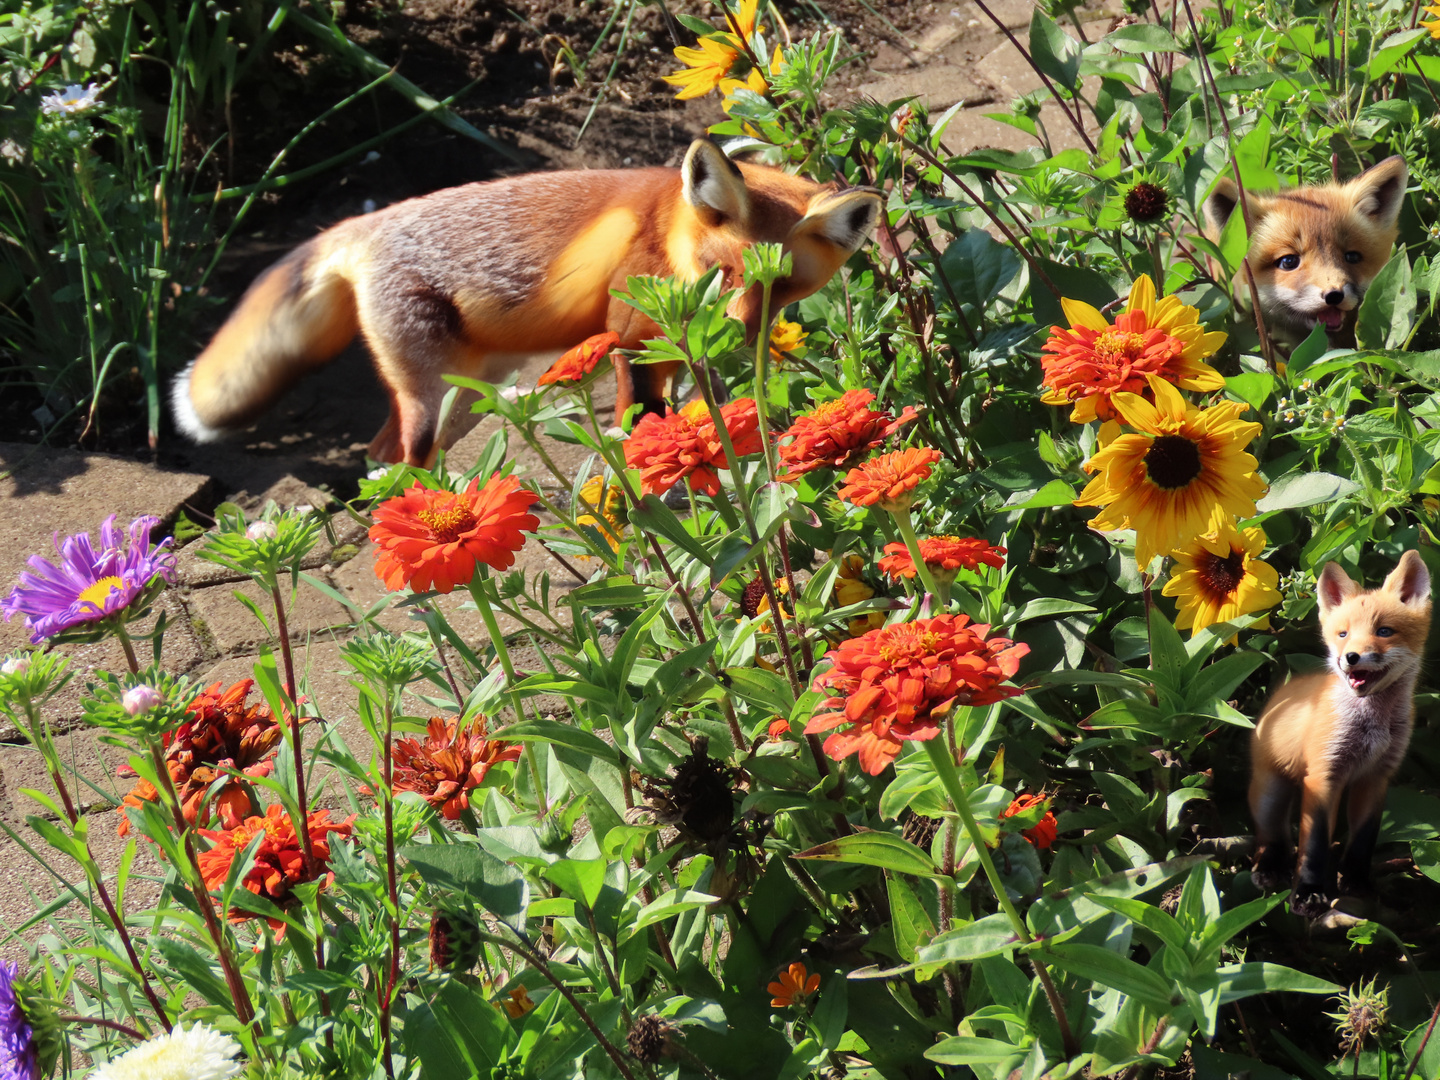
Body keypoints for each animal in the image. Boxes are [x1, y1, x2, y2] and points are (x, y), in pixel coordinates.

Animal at [174, 140, 881, 466]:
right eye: (723, 274)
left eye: (780, 288)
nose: (738, 333)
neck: (665, 230)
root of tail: (358, 225)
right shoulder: (627, 337)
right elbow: (639, 417)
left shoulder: (670, 354)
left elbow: (678, 411)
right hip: (434, 396)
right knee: (406, 459)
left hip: (466, 394)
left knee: (379, 457)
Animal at [1249, 552, 1428, 915]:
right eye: (1343, 634)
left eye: (1384, 631)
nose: (1351, 658)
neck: (1372, 726)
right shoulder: (1323, 774)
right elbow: (1314, 846)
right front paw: (1308, 893)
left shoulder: (1375, 778)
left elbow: (1362, 841)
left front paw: (1357, 884)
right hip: (1270, 794)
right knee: (1271, 837)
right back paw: (1269, 867)